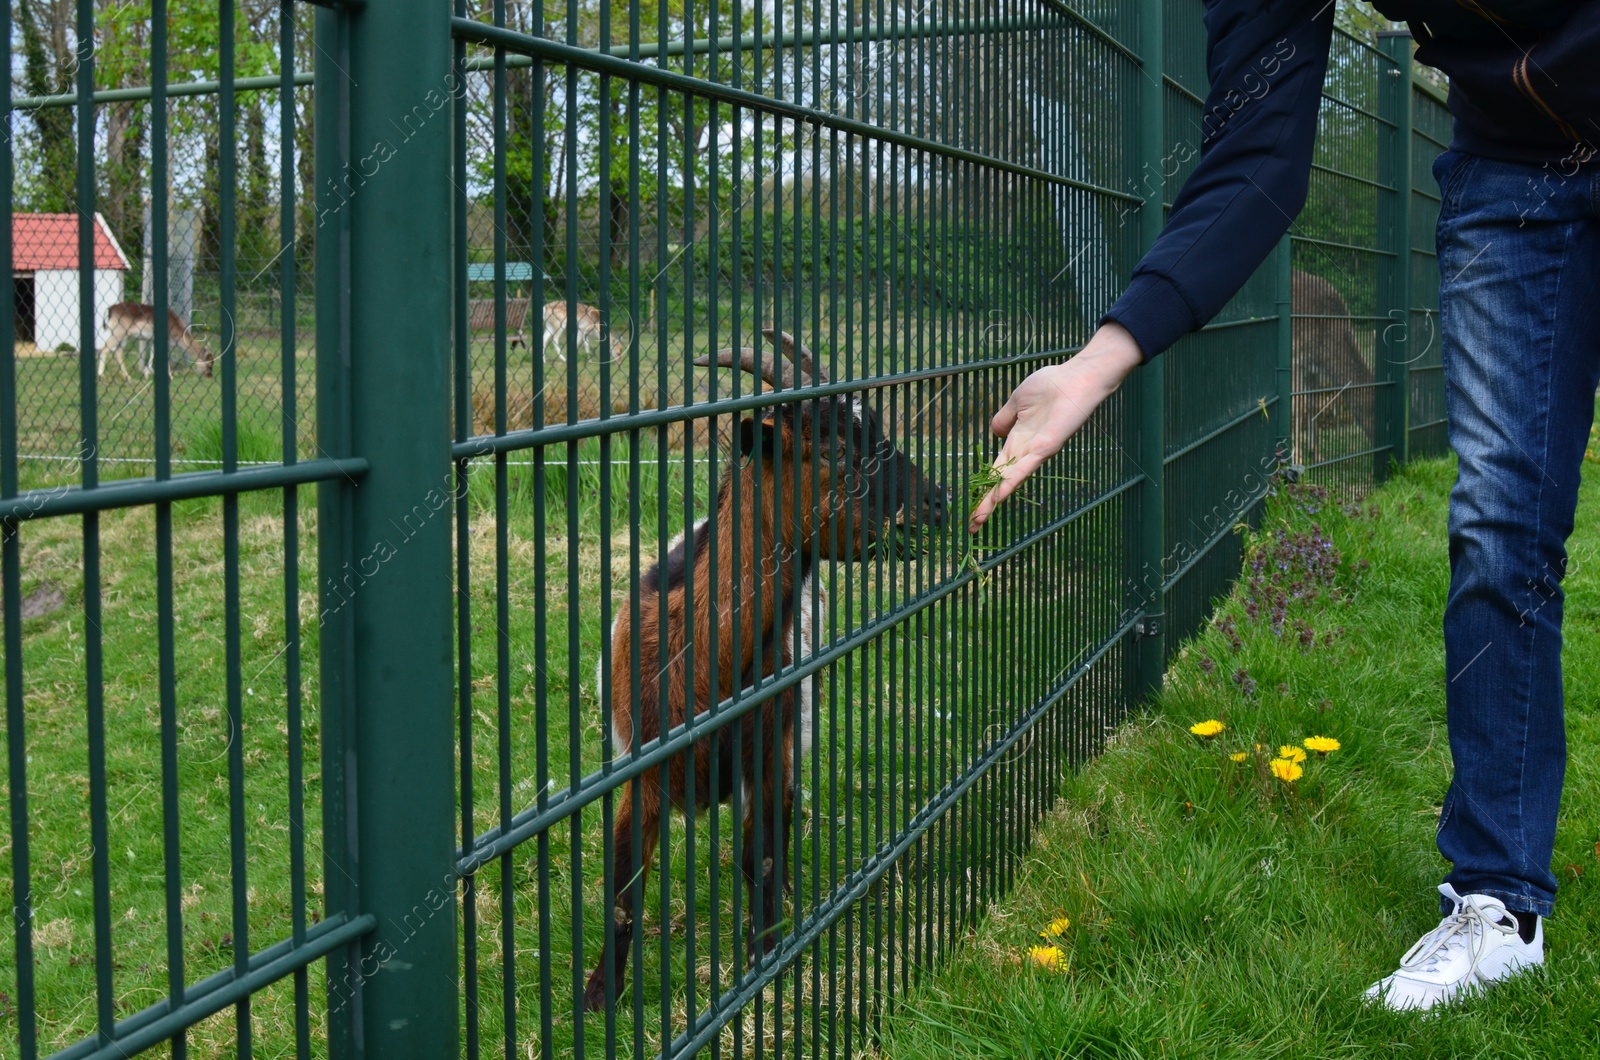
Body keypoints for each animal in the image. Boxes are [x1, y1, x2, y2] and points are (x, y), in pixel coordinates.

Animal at [585, 329, 947, 1011]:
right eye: (834, 450)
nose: (936, 504)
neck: (704, 668)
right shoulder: (640, 770)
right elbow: (622, 887)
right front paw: (597, 996)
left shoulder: (770, 750)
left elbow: (762, 857)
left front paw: (766, 955)